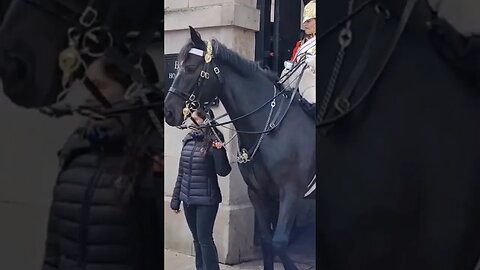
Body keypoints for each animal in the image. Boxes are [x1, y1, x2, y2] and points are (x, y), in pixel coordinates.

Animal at [163, 25, 316, 270]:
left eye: (190, 67)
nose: (168, 111)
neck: (271, 128)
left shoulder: (291, 192)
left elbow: (279, 243)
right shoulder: (258, 194)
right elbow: (267, 241)